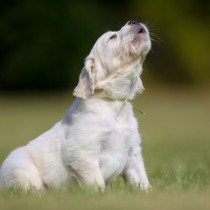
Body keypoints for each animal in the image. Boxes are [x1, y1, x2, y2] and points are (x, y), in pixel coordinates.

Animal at [0, 20, 151, 192]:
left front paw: (148, 193)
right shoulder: (83, 154)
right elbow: (96, 183)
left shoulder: (133, 153)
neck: (113, 104)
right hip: (20, 165)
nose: (134, 21)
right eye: (112, 37)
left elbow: (141, 179)